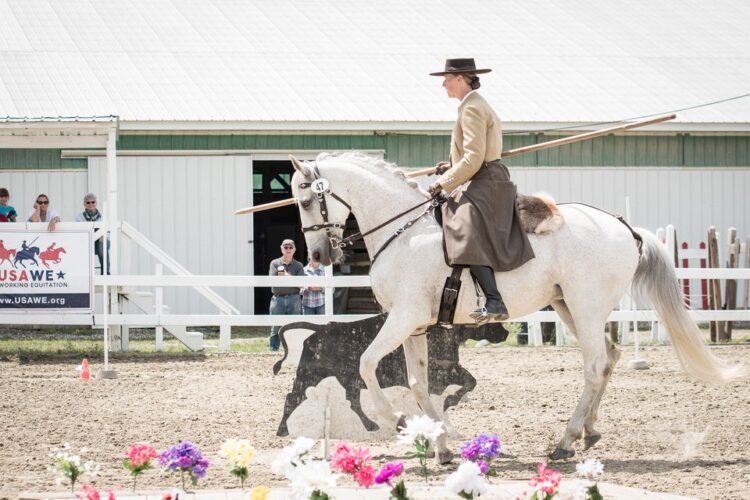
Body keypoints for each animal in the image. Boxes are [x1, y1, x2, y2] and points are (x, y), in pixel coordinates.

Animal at [290, 151, 748, 460]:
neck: (404, 231)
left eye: (307, 200)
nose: (319, 255)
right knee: (610, 356)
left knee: (596, 364)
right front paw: (440, 444)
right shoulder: (414, 326)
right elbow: (418, 382)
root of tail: (624, 226)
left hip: (585, 306)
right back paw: (589, 432)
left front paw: (400, 423)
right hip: (567, 306)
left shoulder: (402, 318)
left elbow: (367, 364)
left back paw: (565, 441)